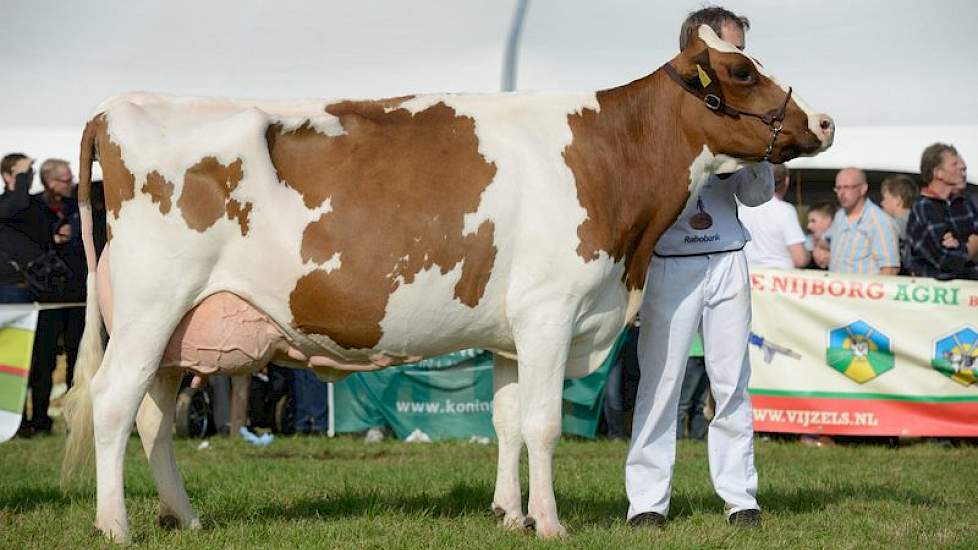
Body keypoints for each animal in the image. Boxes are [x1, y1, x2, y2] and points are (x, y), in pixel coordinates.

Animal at [63, 27, 832, 544]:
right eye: (741, 70)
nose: (823, 120)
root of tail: (119, 106)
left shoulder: (512, 333)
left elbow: (507, 422)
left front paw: (510, 514)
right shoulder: (550, 312)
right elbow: (544, 424)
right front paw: (549, 523)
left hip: (182, 328)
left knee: (153, 418)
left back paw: (185, 517)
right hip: (151, 309)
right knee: (112, 402)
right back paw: (115, 524)